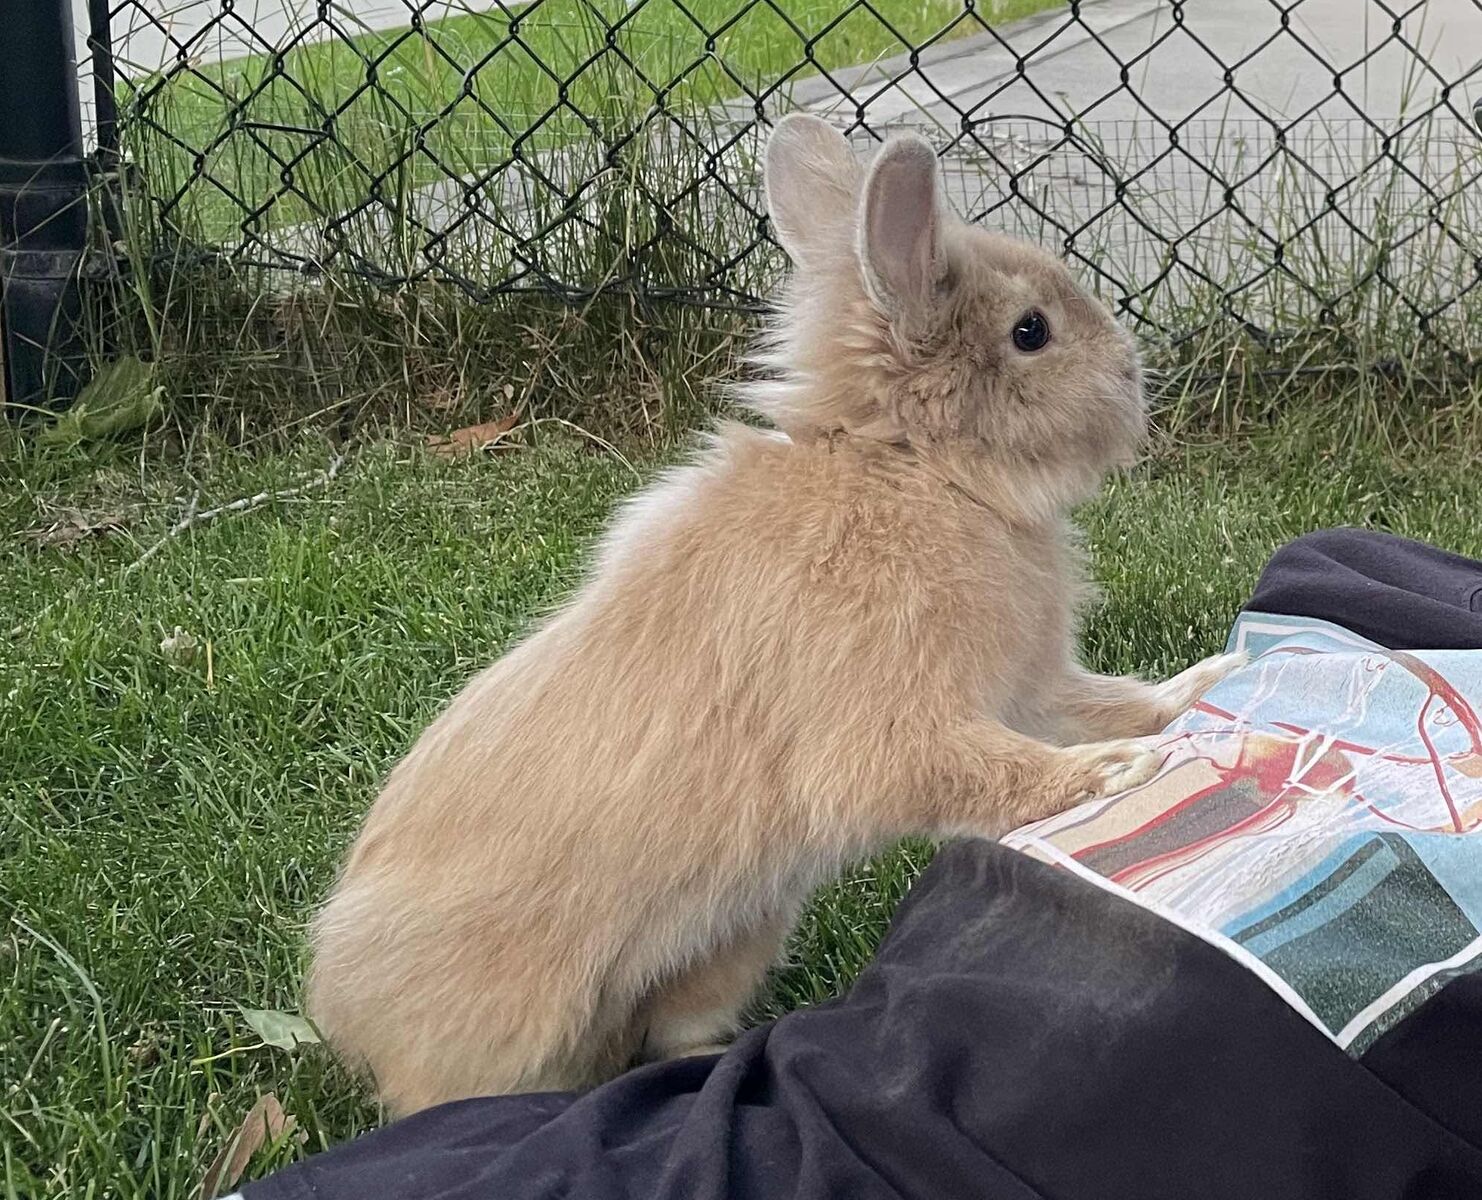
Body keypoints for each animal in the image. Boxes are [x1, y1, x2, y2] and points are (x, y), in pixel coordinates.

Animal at [305, 113, 1246, 1116]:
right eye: (1031, 331)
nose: (1136, 377)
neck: (914, 467)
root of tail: (346, 1019)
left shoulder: (1028, 689)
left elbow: (1108, 699)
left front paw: (1207, 683)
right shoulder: (894, 729)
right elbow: (988, 770)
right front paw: (1118, 773)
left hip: (737, 937)